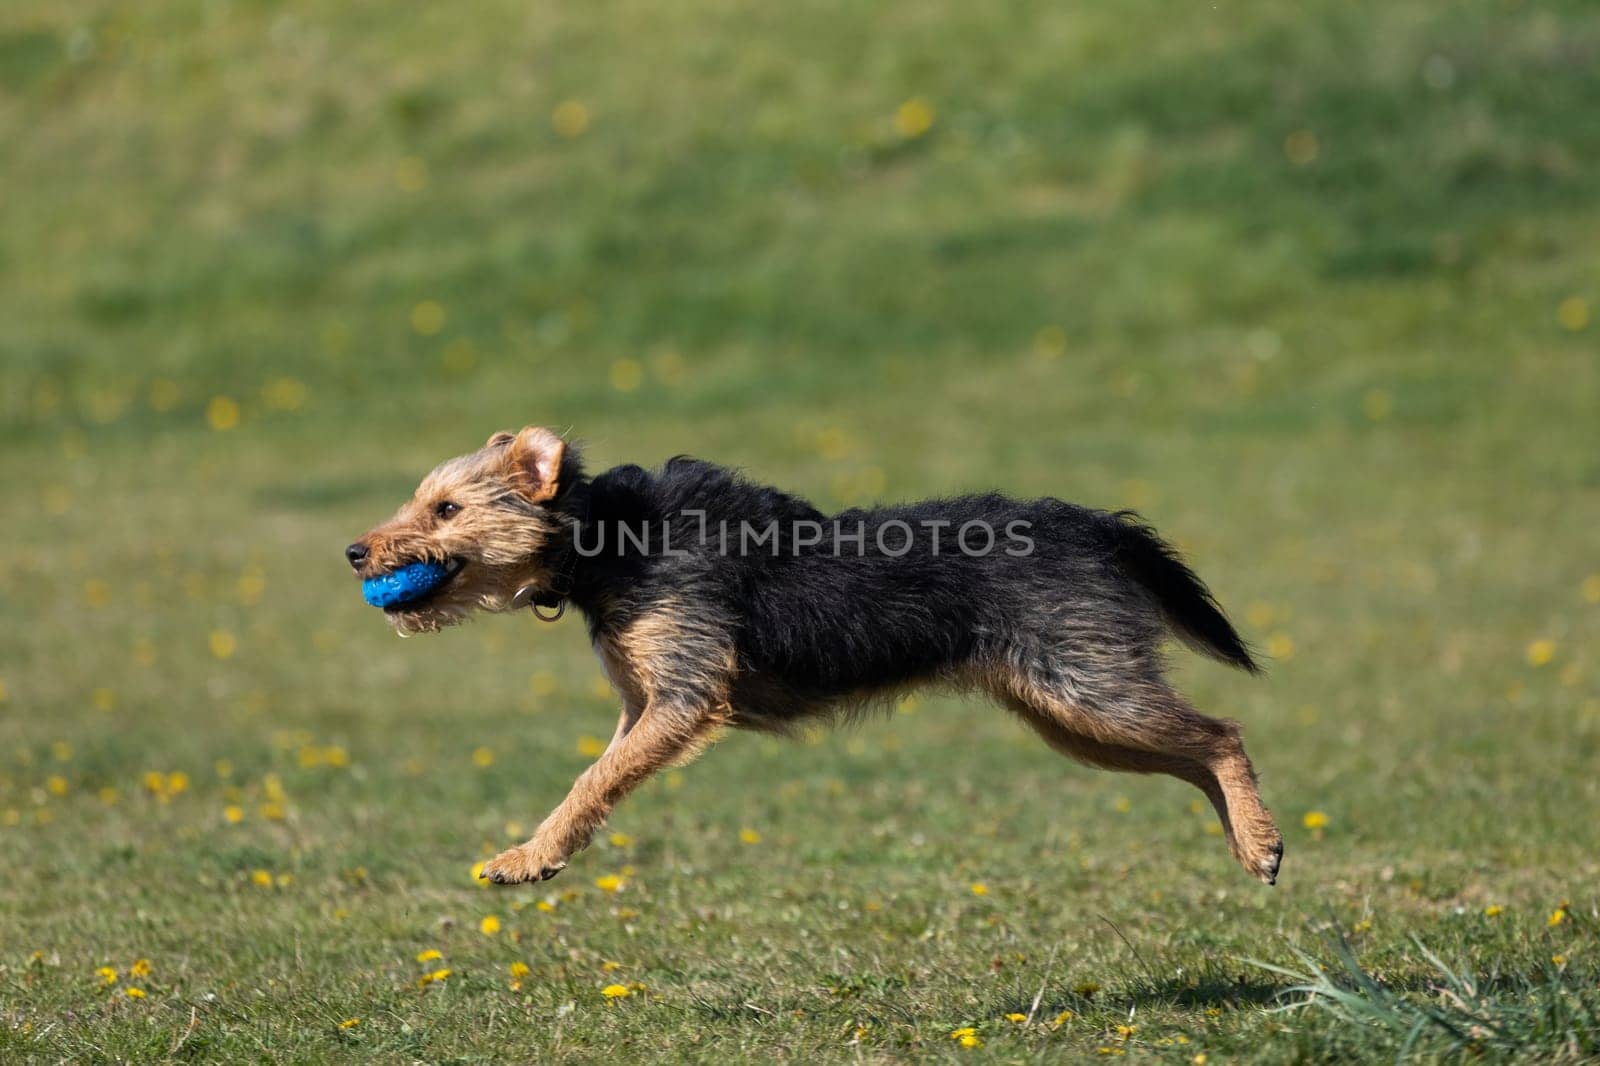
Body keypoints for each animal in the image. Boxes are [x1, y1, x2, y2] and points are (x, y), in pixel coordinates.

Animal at [350, 422, 1286, 877]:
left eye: (444, 509)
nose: (355, 552)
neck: (606, 540)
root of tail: (1092, 524)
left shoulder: (685, 697)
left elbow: (590, 779)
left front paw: (525, 859)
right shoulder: (643, 704)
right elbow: (595, 780)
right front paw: (540, 853)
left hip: (1088, 688)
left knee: (1222, 735)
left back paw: (1260, 839)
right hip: (1070, 715)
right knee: (1199, 754)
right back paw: (1250, 840)